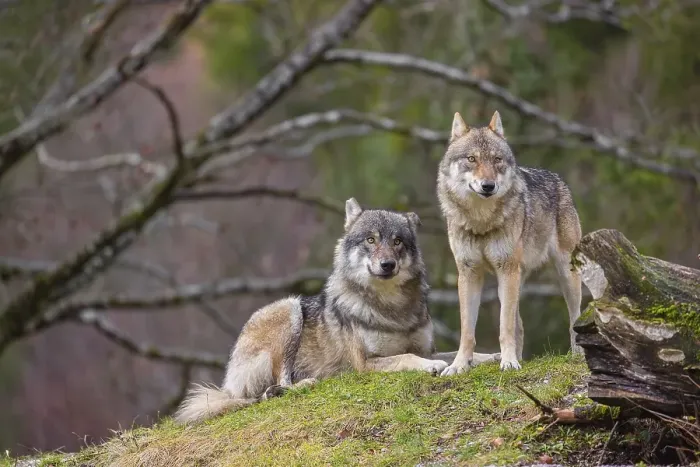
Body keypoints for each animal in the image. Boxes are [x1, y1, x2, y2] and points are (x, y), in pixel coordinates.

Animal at [175, 198, 499, 424]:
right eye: (371, 240)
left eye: (397, 242)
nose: (388, 265)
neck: (392, 309)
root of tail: (228, 384)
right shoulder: (366, 363)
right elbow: (406, 357)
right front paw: (431, 367)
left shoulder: (427, 347)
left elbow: (455, 354)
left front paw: (491, 357)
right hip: (290, 309)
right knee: (277, 385)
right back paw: (305, 384)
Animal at [436, 110, 583, 375]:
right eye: (472, 159)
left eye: (497, 160)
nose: (488, 185)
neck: (481, 221)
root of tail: (558, 179)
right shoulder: (469, 274)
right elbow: (467, 331)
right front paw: (459, 365)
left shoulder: (506, 270)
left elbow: (504, 327)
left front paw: (509, 363)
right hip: (512, 282)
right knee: (519, 325)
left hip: (563, 274)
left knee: (574, 318)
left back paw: (576, 354)